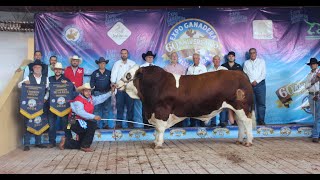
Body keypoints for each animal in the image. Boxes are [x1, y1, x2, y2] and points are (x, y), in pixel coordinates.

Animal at [116, 64, 256, 148]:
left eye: (128, 75)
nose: (115, 84)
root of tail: (241, 74)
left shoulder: (161, 111)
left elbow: (159, 129)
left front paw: (158, 144)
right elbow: (156, 129)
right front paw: (155, 142)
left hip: (242, 107)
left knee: (247, 122)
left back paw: (248, 142)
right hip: (236, 109)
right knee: (240, 123)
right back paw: (239, 140)